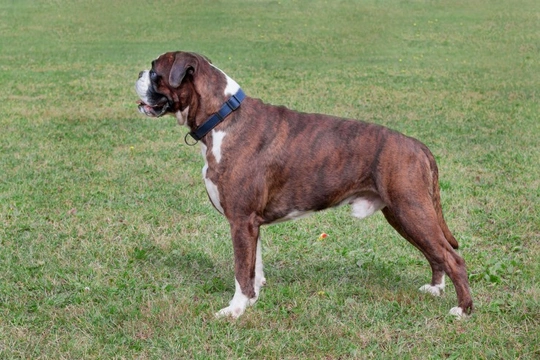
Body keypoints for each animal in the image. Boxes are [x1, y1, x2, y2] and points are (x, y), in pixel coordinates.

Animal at [135, 50, 472, 318]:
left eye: (154, 72)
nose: (138, 73)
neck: (221, 117)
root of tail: (418, 146)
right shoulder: (251, 223)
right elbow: (254, 266)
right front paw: (253, 300)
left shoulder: (241, 221)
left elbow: (241, 271)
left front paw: (235, 310)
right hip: (404, 215)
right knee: (435, 253)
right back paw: (435, 289)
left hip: (412, 210)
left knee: (453, 258)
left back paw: (463, 310)